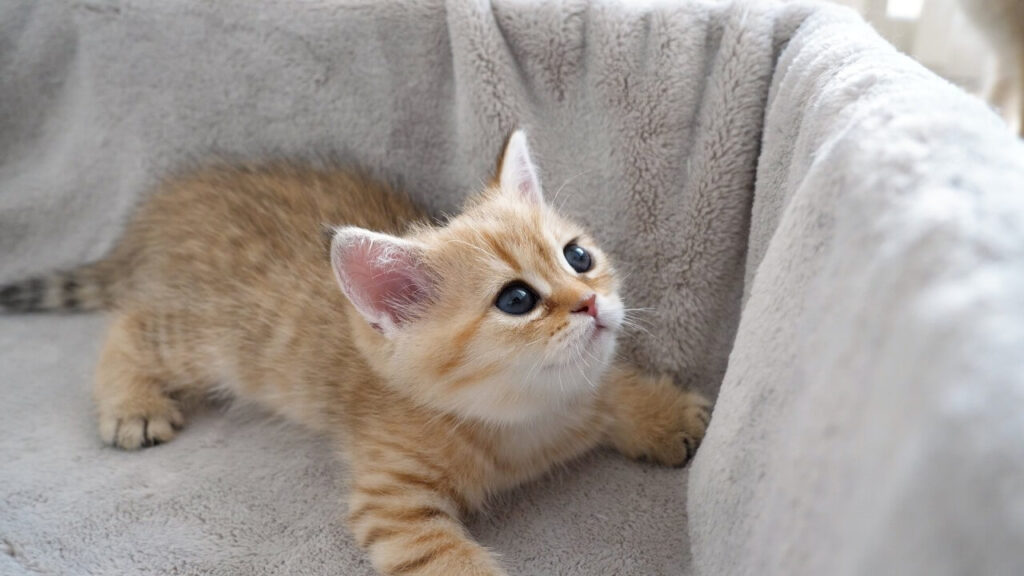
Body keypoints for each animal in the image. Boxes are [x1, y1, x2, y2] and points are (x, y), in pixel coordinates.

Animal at [0, 131, 710, 576]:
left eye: (578, 256)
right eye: (516, 300)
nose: (589, 302)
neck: (529, 415)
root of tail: (158, 215)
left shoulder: (584, 387)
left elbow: (614, 386)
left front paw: (666, 416)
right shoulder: (390, 500)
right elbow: (441, 557)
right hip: (207, 338)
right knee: (128, 326)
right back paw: (131, 403)